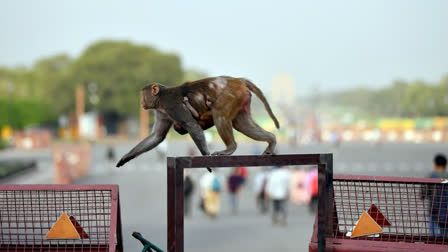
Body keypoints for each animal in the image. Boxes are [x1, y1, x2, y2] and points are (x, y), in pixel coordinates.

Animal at [118, 76, 280, 171]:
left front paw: (207, 163)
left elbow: (191, 125)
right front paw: (125, 157)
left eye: (143, 95)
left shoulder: (171, 104)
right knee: (242, 124)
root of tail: (236, 80)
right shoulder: (161, 111)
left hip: (232, 93)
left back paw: (230, 147)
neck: (161, 99)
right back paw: (271, 140)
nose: (141, 102)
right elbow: (157, 136)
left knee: (219, 114)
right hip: (240, 96)